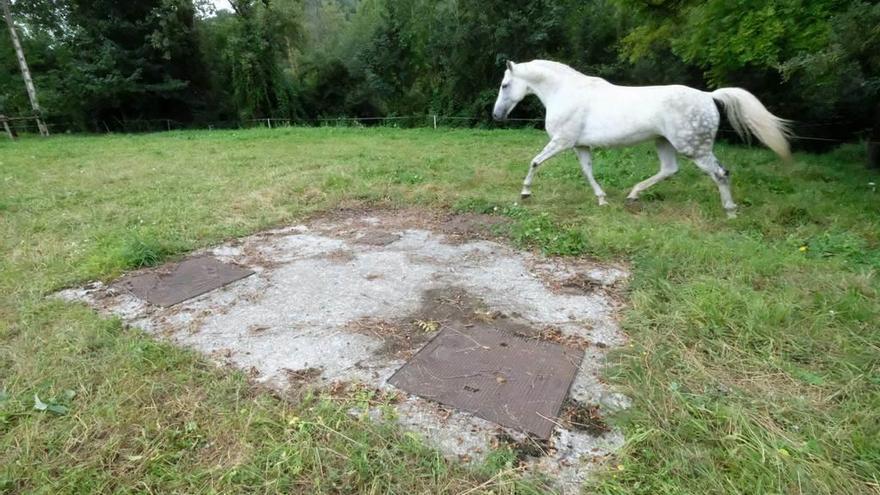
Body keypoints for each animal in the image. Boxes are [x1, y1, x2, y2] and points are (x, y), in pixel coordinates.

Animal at [496, 59, 792, 217]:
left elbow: (535, 162)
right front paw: (602, 199)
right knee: (669, 169)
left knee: (720, 174)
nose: (497, 115)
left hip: (695, 148)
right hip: (664, 143)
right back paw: (633, 195)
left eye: (505, 85)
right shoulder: (580, 145)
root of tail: (708, 96)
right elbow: (588, 172)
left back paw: (730, 211)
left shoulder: (562, 141)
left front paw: (525, 192)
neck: (565, 92)